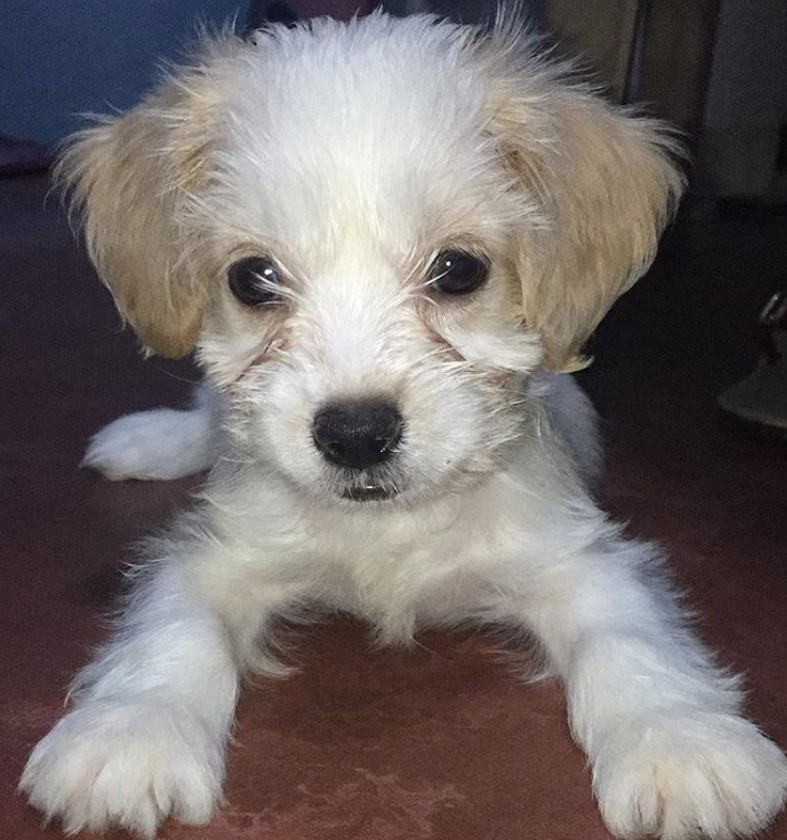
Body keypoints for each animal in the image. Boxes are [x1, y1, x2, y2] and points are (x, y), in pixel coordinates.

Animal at [18, 13, 787, 840]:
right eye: (252, 278)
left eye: (458, 271)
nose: (355, 435)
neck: (385, 528)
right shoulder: (216, 553)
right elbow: (174, 629)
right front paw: (128, 732)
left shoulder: (575, 554)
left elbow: (629, 636)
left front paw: (680, 741)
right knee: (209, 414)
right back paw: (148, 440)